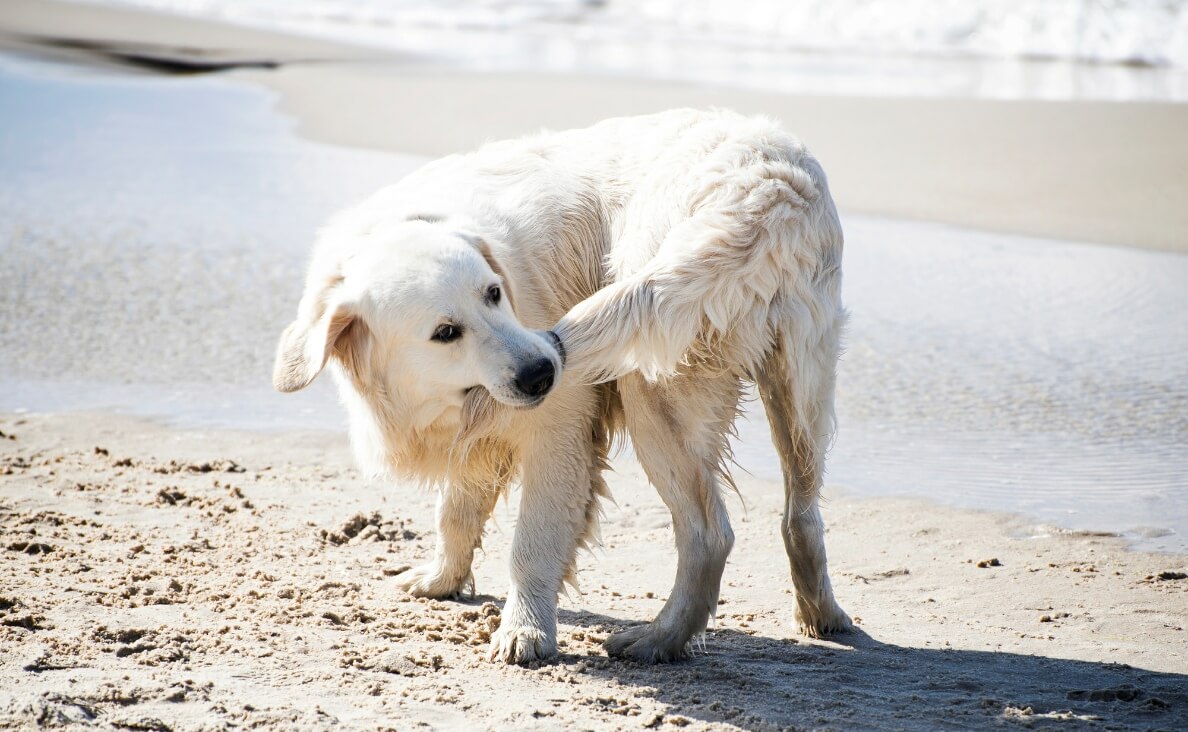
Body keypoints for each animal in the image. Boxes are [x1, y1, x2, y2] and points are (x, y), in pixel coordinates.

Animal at [275, 106, 855, 665]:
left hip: (652, 385)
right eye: (445, 332)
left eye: (493, 293)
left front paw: (525, 631)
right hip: (800, 387)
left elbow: (531, 543)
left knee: (709, 534)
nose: (543, 371)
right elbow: (455, 512)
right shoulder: (476, 434)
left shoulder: (559, 428)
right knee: (801, 515)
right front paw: (441, 580)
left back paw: (657, 640)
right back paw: (821, 616)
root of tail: (767, 188)